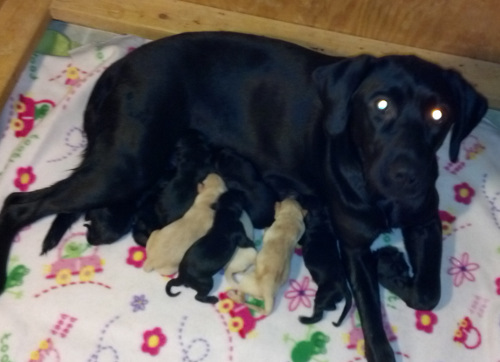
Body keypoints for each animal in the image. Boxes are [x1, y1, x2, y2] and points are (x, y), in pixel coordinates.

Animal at [0, 31, 486, 362]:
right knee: (18, 204)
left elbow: (428, 292)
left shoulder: (424, 219)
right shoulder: (351, 245)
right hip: (125, 166)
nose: (407, 176)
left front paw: (395, 268)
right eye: (380, 105)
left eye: (438, 113)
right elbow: (375, 320)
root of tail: (117, 69)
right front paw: (387, 268)